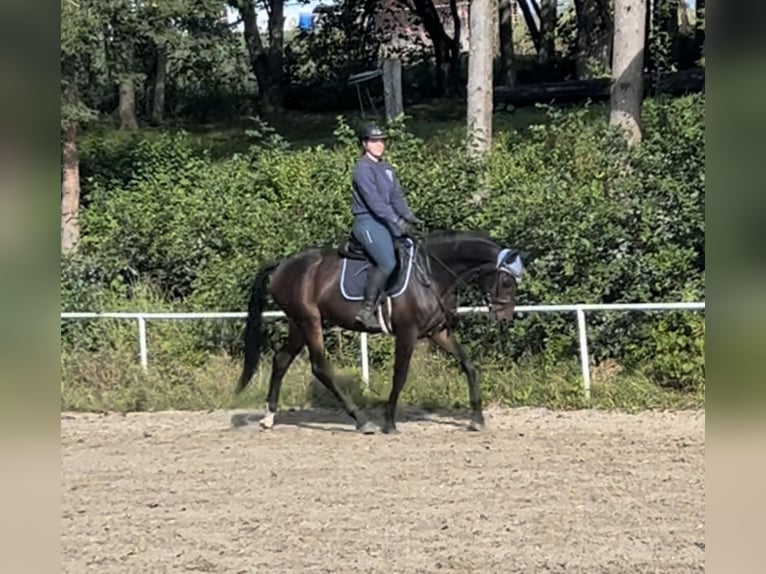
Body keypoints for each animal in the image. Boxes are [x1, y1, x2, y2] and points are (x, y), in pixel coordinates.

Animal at [234, 227, 524, 434]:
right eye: (507, 282)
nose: (504, 318)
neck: (432, 274)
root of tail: (283, 265)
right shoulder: (407, 333)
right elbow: (400, 375)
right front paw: (389, 422)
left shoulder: (438, 332)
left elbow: (469, 365)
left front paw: (477, 419)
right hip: (310, 322)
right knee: (320, 368)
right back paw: (362, 421)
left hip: (298, 324)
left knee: (281, 360)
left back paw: (269, 418)